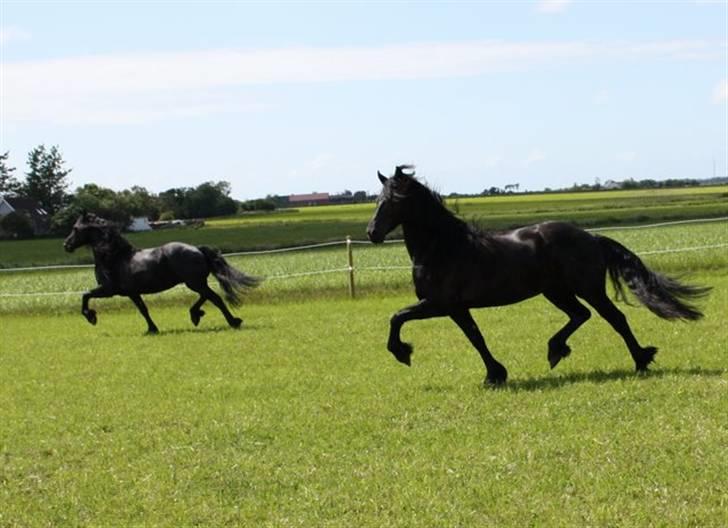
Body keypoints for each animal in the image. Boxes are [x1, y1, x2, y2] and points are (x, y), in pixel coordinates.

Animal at [64, 211, 260, 332]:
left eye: (75, 228)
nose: (66, 245)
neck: (114, 257)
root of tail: (197, 249)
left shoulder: (109, 290)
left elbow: (85, 295)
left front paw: (91, 317)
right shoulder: (132, 293)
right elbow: (143, 310)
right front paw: (152, 329)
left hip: (194, 282)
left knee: (214, 298)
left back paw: (232, 321)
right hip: (196, 282)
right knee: (207, 296)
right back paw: (197, 315)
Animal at [366, 164, 708, 384]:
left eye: (395, 201)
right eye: (377, 201)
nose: (372, 233)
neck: (443, 248)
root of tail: (591, 237)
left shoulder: (441, 304)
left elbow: (398, 318)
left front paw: (402, 353)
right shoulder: (455, 308)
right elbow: (475, 336)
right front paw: (496, 374)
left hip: (587, 288)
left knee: (615, 318)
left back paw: (640, 360)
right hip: (556, 291)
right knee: (581, 315)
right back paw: (556, 350)